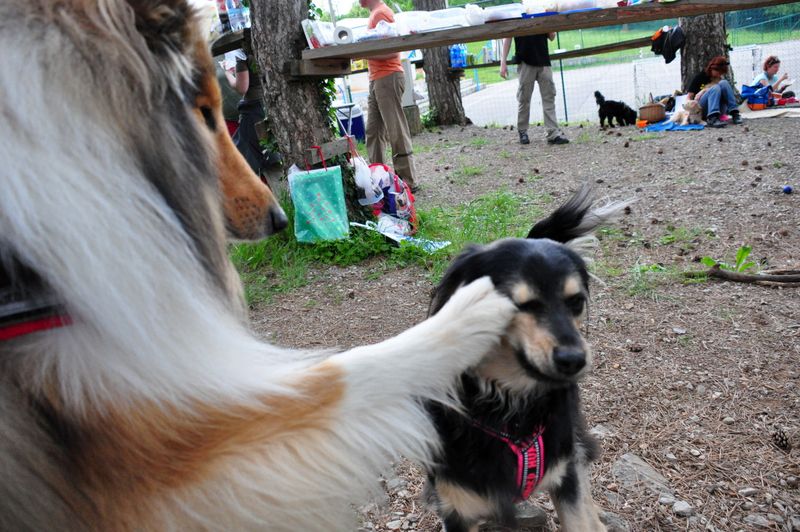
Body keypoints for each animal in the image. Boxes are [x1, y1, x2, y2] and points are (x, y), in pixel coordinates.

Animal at [422, 186, 628, 532]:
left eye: (576, 301)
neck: (510, 409)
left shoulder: (565, 475)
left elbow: (578, 507)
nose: (574, 360)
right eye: (517, 304)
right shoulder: (455, 504)